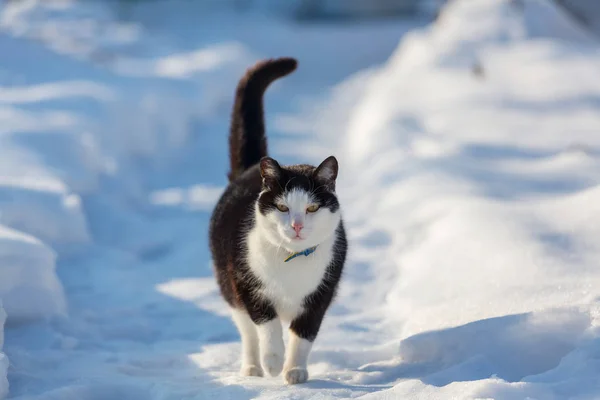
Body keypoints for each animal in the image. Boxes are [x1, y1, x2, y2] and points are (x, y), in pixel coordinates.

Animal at [210, 57, 346, 384]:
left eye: (312, 208)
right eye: (283, 207)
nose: (296, 225)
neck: (292, 262)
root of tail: (250, 168)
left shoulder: (322, 292)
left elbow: (304, 334)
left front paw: (295, 370)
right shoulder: (248, 283)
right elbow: (267, 325)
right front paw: (273, 362)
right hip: (228, 282)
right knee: (247, 331)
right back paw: (253, 367)